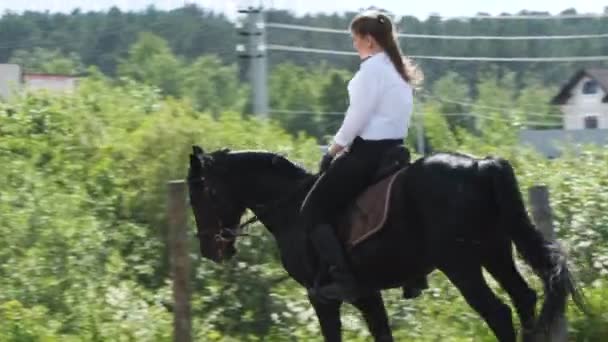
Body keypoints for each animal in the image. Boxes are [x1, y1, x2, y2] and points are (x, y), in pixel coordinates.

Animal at [186, 146, 584, 340]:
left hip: (461, 264)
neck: (290, 206)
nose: (211, 249)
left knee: (498, 312)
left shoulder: (322, 298)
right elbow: (382, 333)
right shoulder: (366, 293)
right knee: (524, 298)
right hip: (494, 252)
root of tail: (481, 165)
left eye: (200, 195)